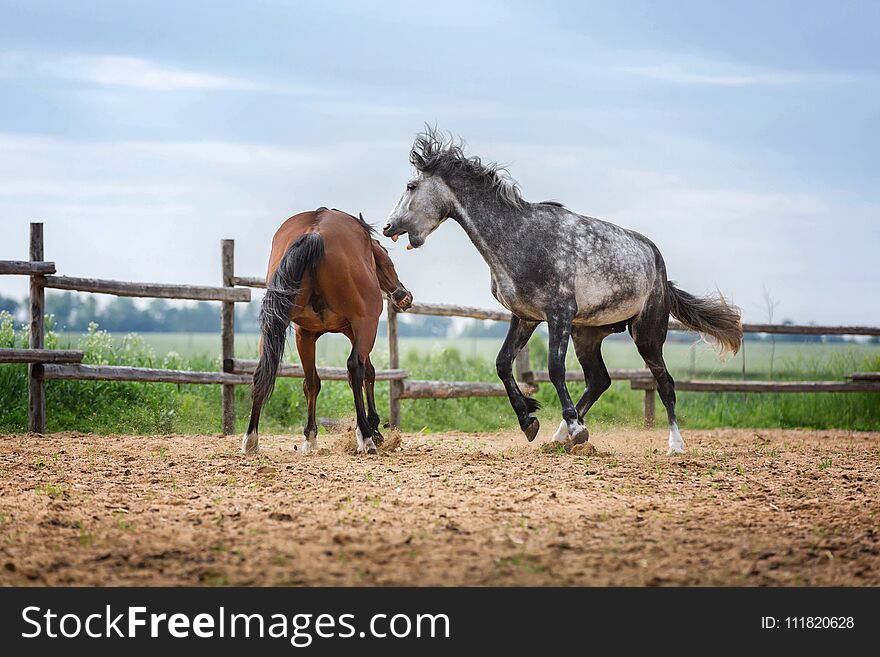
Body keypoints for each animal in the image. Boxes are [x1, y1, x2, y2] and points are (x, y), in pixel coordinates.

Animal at [241, 208, 412, 454]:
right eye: (386, 256)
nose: (404, 296)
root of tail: (315, 233)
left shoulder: (308, 333)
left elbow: (312, 382)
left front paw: (310, 437)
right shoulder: (360, 327)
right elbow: (367, 373)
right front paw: (374, 430)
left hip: (278, 327)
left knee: (266, 372)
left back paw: (251, 440)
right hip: (365, 324)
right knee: (355, 367)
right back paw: (366, 438)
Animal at [384, 129, 744, 456]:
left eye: (411, 186)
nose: (388, 227)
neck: (520, 237)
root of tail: (658, 266)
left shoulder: (559, 314)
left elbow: (554, 368)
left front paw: (569, 426)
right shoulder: (525, 317)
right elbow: (502, 363)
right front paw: (530, 422)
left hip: (647, 333)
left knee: (664, 382)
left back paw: (673, 444)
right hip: (589, 334)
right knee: (599, 380)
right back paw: (562, 436)